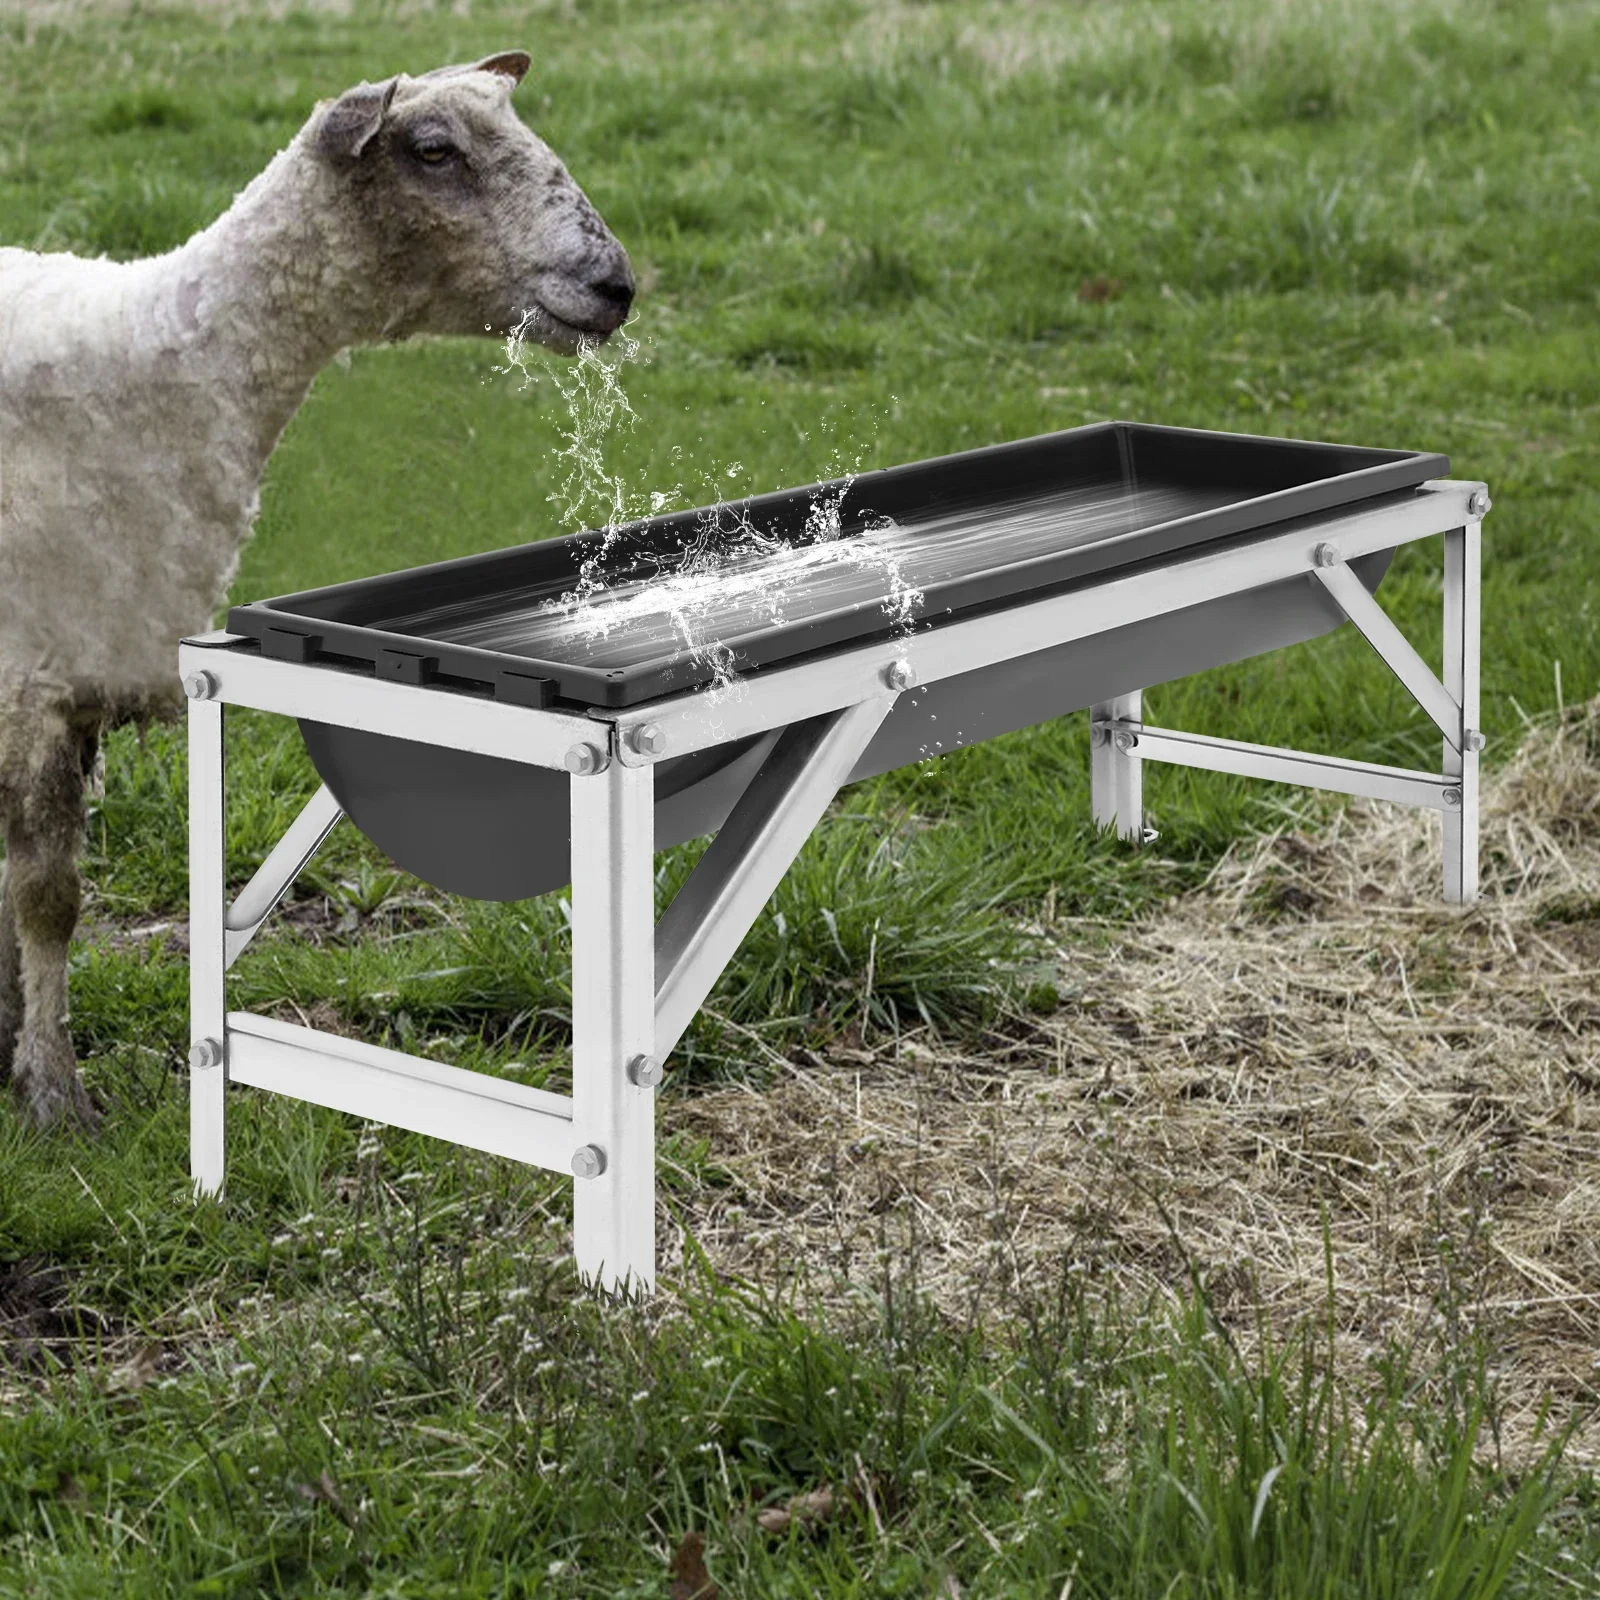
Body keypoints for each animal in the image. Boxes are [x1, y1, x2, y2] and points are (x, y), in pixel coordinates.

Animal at [0, 51, 635, 1132]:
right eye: (434, 149)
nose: (618, 285)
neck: (166, 366)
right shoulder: (33, 673)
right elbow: (48, 896)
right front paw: (52, 1090)